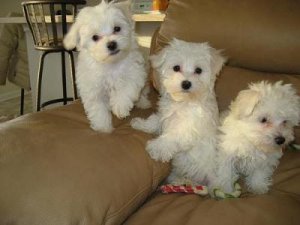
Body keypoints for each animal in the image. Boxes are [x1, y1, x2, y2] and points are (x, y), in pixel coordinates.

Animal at [64, 0, 151, 133]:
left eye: (117, 28)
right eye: (95, 37)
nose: (111, 44)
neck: (111, 64)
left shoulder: (135, 72)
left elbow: (126, 88)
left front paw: (120, 107)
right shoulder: (92, 88)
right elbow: (97, 108)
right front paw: (103, 127)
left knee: (142, 92)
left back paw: (143, 103)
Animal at [131, 38, 225, 185]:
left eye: (198, 70)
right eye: (176, 68)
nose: (186, 84)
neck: (183, 102)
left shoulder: (189, 128)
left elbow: (173, 135)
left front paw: (157, 147)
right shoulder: (165, 115)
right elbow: (154, 121)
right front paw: (140, 124)